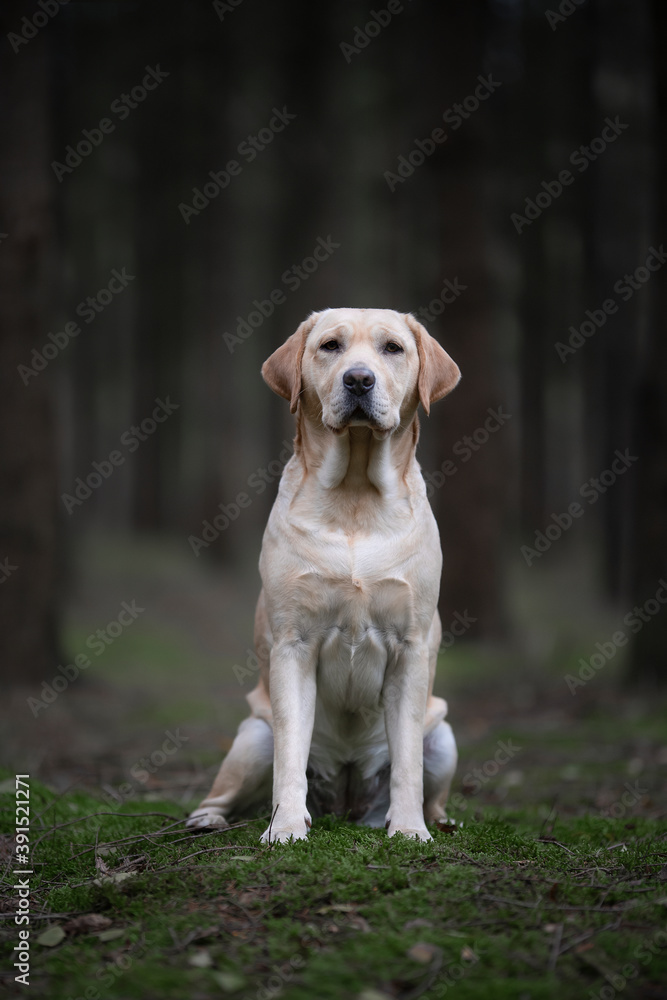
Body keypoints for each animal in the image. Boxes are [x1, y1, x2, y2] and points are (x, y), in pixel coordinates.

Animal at [188, 308, 460, 840]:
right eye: (330, 346)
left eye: (393, 348)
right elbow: (290, 758)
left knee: (426, 777)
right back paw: (206, 818)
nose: (358, 379)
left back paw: (430, 820)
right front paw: (286, 828)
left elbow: (408, 765)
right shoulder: (293, 644)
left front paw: (409, 829)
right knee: (230, 787)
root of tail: (347, 802)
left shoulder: (411, 649)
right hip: (254, 736)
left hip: (443, 732)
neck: (355, 493)